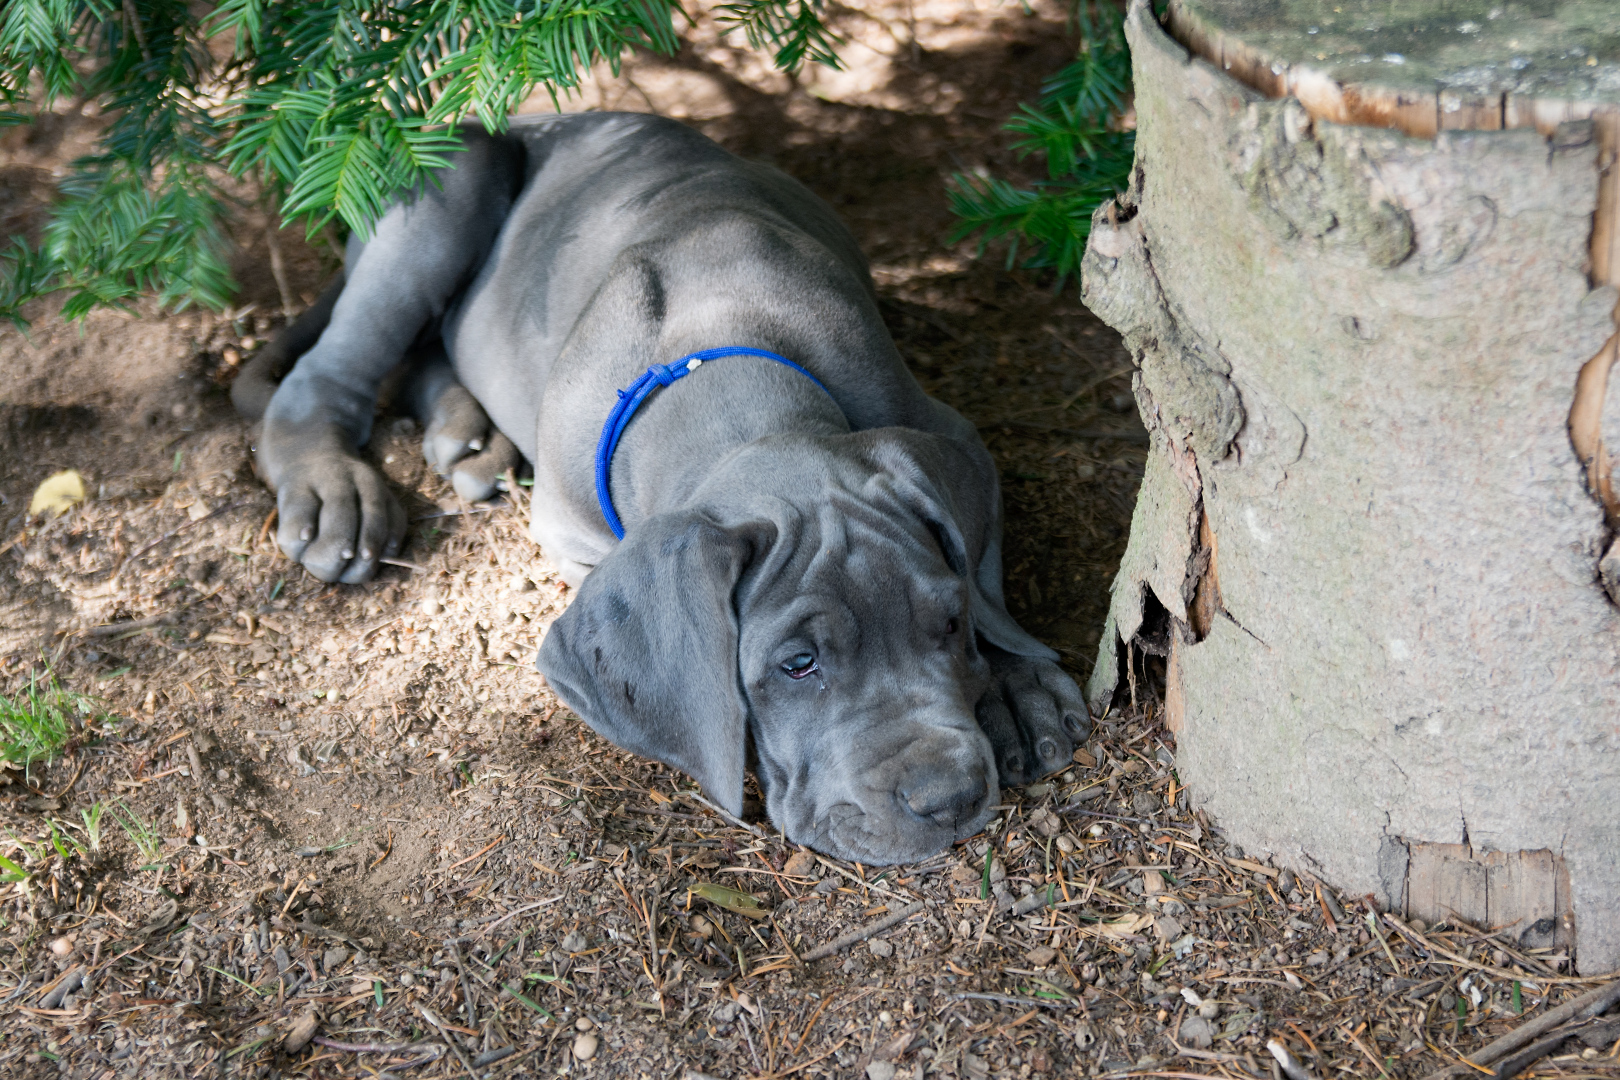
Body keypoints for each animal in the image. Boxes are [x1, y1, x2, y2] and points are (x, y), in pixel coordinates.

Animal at [236, 114, 1088, 867]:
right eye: (797, 664)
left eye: (948, 622)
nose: (949, 798)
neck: (718, 348)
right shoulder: (570, 537)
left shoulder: (950, 436)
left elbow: (989, 584)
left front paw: (1015, 691)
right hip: (447, 175)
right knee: (326, 375)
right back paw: (334, 491)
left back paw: (468, 434)